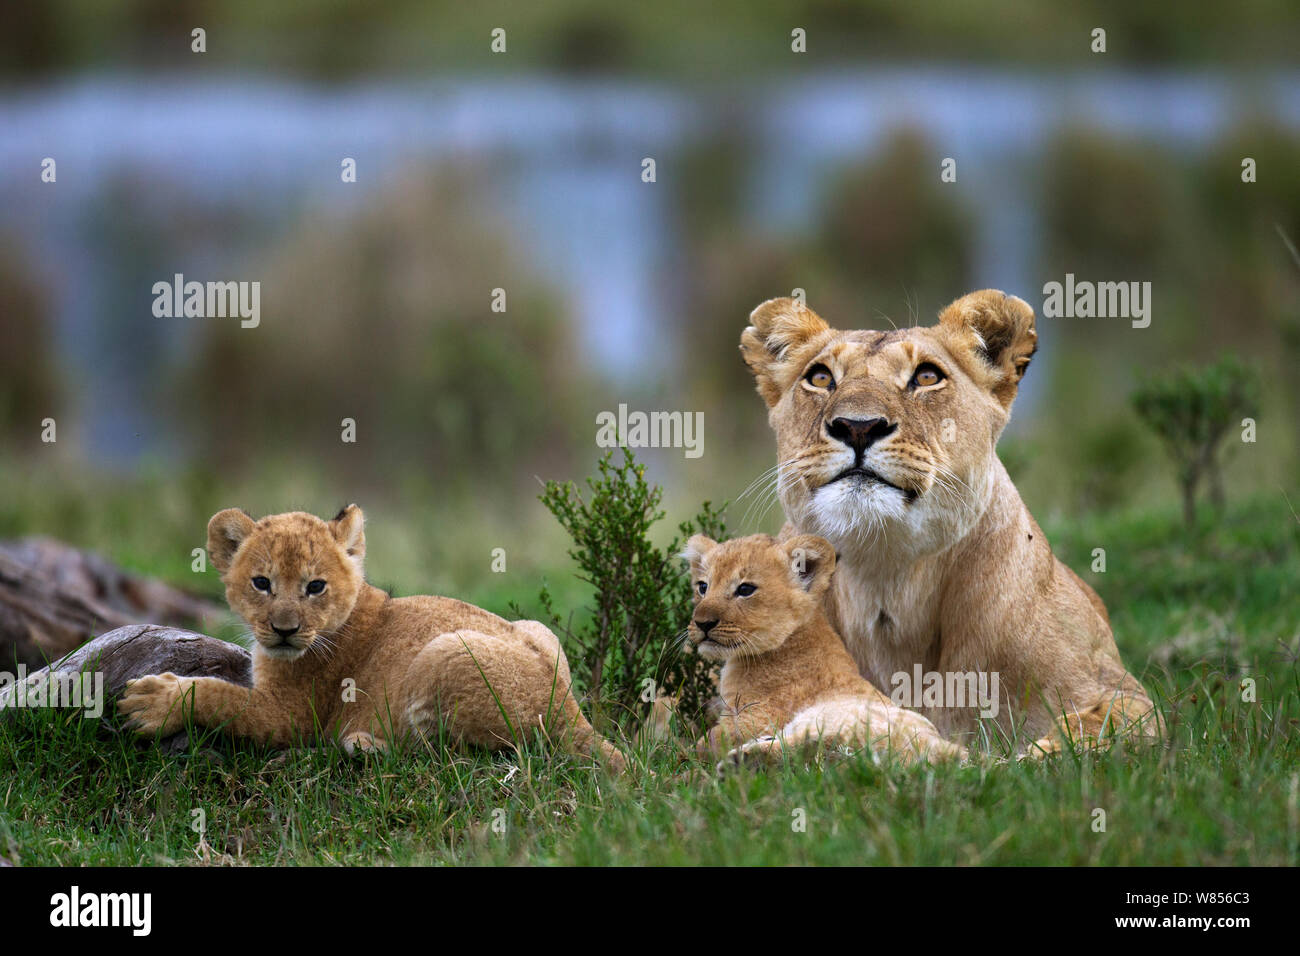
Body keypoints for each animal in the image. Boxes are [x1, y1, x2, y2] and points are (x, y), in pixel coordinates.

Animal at [117, 505, 625, 771]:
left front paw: (154, 703)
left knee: (451, 756)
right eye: (261, 583)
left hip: (444, 651)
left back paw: (364, 744)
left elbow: (222, 697)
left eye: (315, 586)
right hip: (539, 631)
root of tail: (571, 713)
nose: (284, 629)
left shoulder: (290, 717)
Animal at [682, 532, 965, 771]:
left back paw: (742, 763)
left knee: (815, 747)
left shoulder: (759, 716)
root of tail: (949, 752)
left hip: (837, 719)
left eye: (745, 589)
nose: (702, 623)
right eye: (703, 587)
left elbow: (707, 742)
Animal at [739, 289, 1158, 755]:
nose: (857, 426)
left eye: (926, 376)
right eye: (820, 377)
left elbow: (1081, 736)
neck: (888, 580)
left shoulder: (1125, 694)